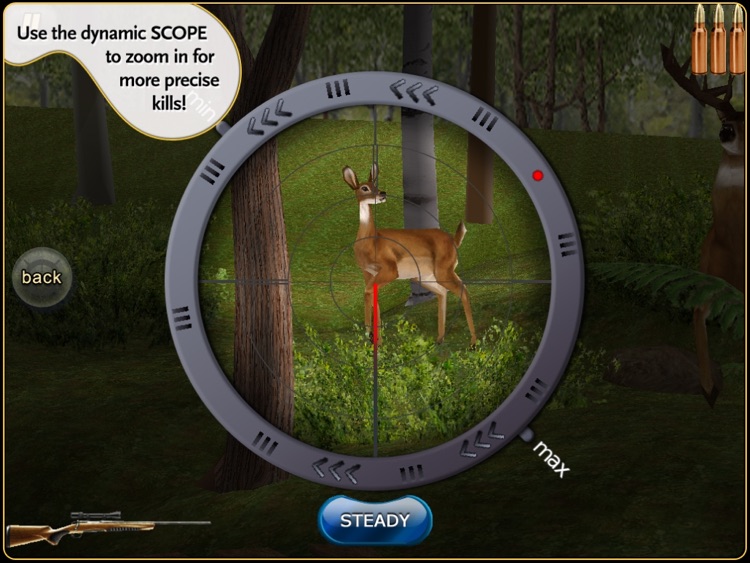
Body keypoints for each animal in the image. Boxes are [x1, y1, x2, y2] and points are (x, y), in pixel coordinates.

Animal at [343, 164, 477, 347]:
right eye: (364, 188)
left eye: (375, 185)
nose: (382, 194)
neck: (371, 241)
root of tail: (454, 241)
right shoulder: (367, 272)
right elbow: (374, 299)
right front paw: (377, 342)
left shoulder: (390, 269)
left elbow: (367, 292)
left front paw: (370, 337)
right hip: (425, 276)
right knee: (443, 292)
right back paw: (439, 339)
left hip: (444, 269)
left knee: (463, 290)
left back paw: (473, 342)